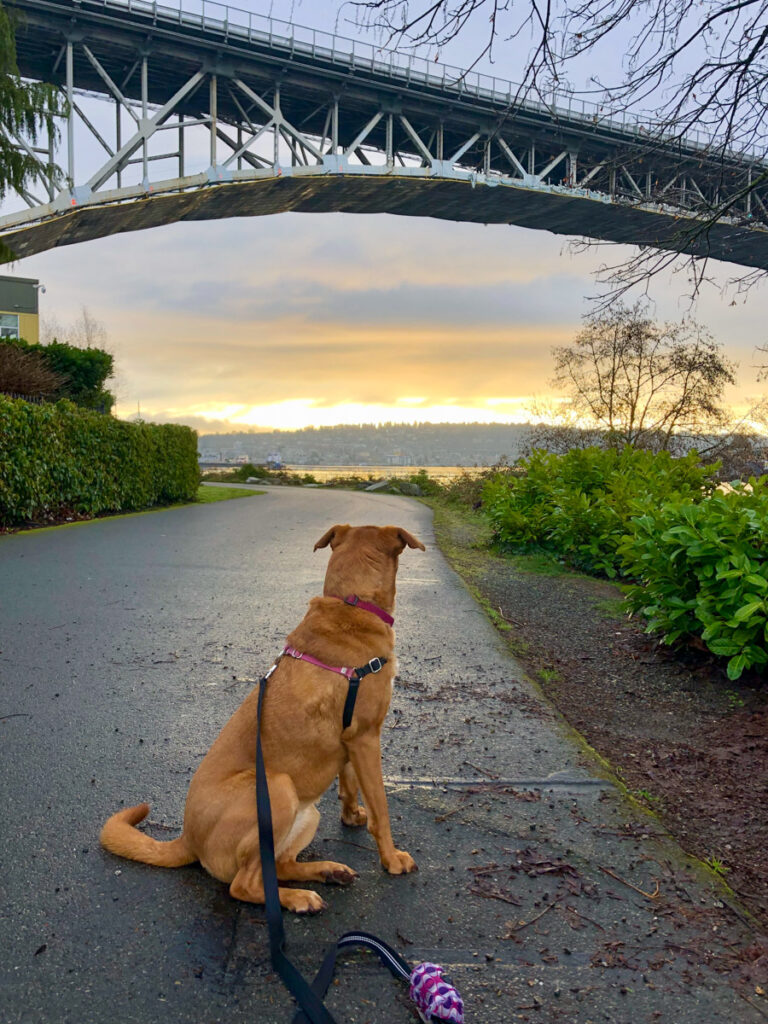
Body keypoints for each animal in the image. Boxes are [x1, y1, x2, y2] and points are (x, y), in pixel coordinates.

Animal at [99, 528, 423, 913]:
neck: (351, 603)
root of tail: (187, 839)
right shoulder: (365, 737)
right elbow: (381, 809)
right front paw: (391, 858)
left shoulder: (350, 739)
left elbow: (349, 784)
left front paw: (351, 814)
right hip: (276, 788)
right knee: (244, 885)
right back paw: (299, 897)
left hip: (305, 812)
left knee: (278, 866)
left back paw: (326, 872)